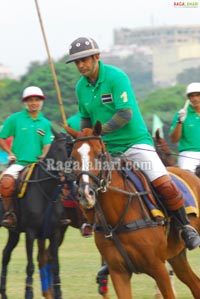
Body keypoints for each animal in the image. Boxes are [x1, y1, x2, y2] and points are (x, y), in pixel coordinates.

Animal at [63, 122, 200, 299]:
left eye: (99, 155)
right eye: (73, 158)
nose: (86, 194)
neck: (117, 218)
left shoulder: (158, 268)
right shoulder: (118, 273)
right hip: (177, 255)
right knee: (195, 285)